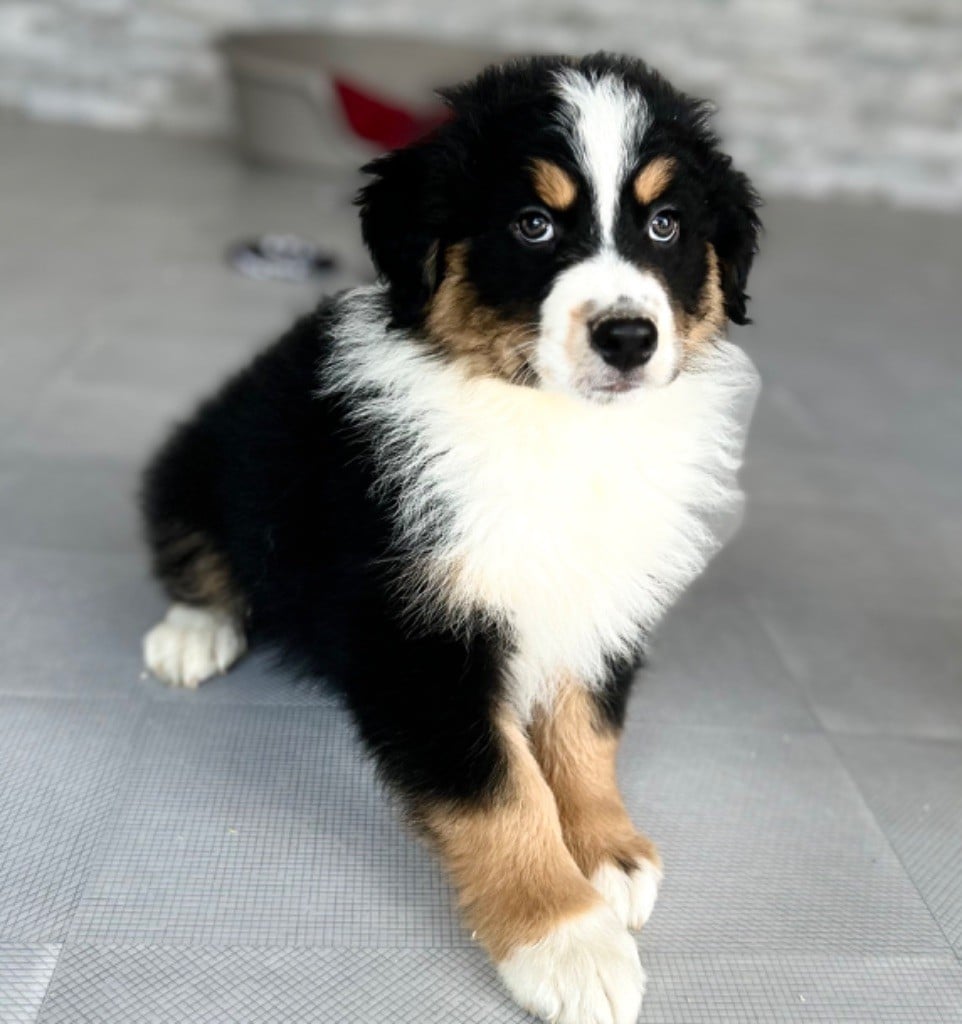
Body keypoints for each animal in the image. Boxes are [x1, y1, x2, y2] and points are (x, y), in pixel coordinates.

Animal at [141, 53, 760, 1024]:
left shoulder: (602, 589)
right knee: (197, 545)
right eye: (533, 224)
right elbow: (498, 792)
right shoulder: (414, 635)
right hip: (212, 456)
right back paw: (191, 633)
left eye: (665, 224)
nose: (629, 336)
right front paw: (568, 942)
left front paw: (607, 850)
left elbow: (586, 729)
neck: (557, 427)